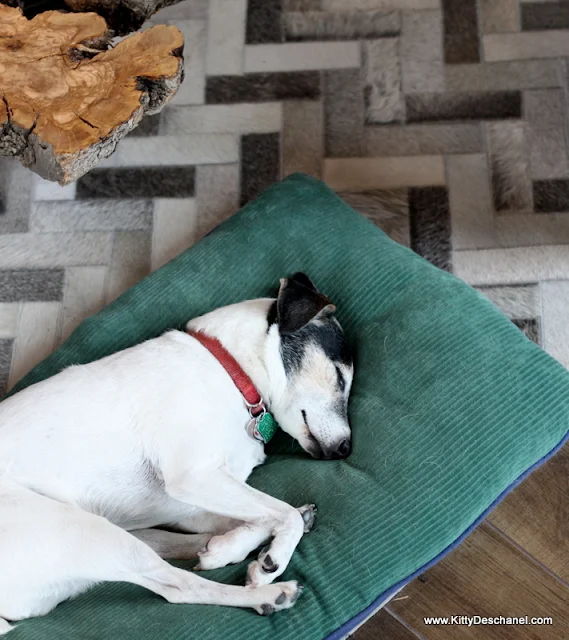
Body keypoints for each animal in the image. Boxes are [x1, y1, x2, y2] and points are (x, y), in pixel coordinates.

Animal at [0, 272, 352, 632]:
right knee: (179, 588)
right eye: (340, 378)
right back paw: (270, 594)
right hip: (89, 533)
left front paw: (230, 548)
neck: (231, 371)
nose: (346, 449)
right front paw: (274, 559)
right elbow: (281, 513)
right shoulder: (193, 477)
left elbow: (267, 514)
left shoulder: (190, 503)